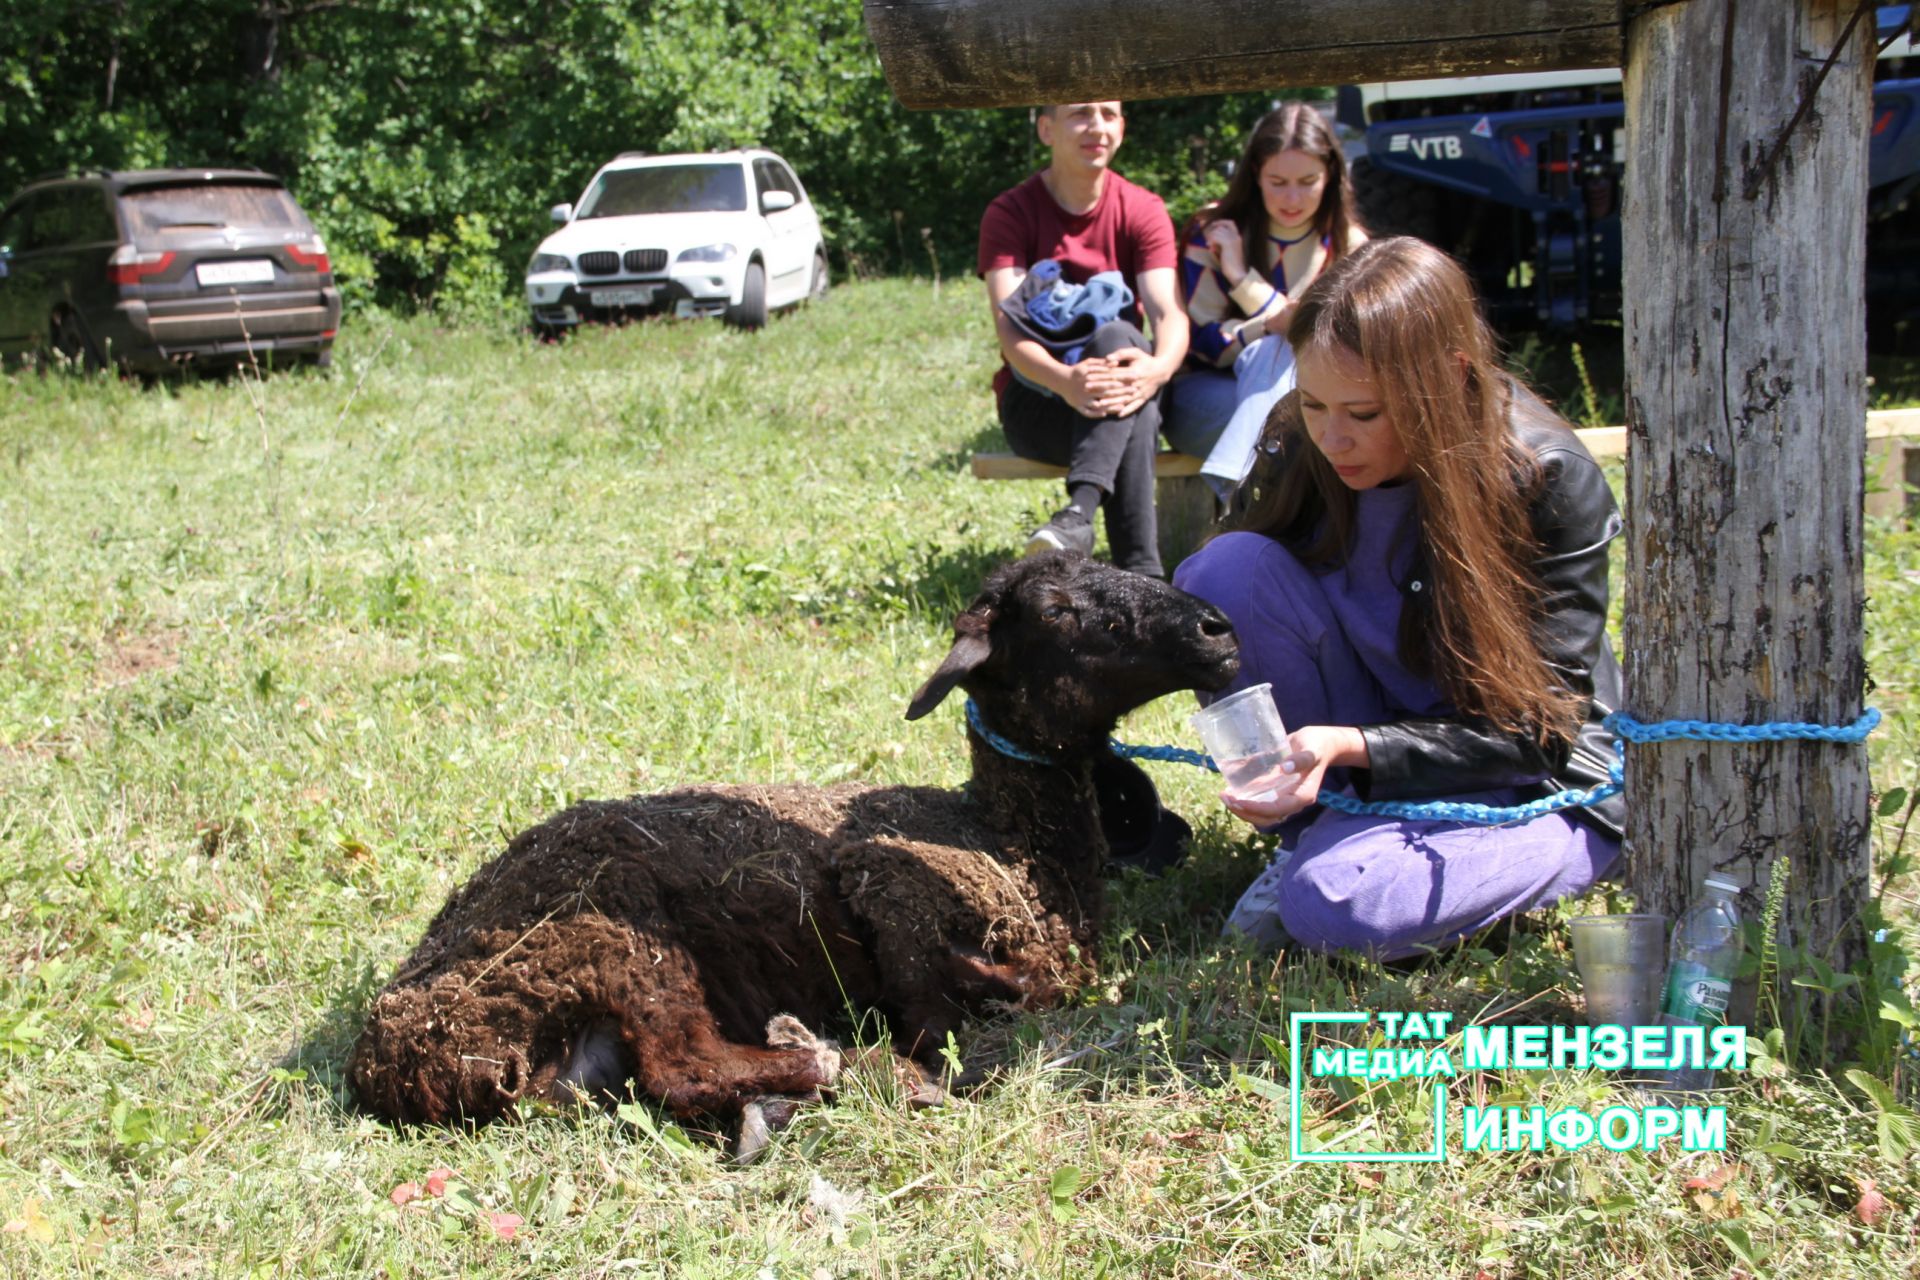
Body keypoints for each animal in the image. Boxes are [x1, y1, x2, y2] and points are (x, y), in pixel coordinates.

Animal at [351, 548, 1236, 1143]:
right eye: (1055, 611)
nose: (1217, 629)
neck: (1007, 837)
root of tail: (396, 1056)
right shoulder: (886, 884)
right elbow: (951, 1010)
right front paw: (959, 1023)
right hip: (617, 939)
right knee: (682, 1067)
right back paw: (838, 1061)